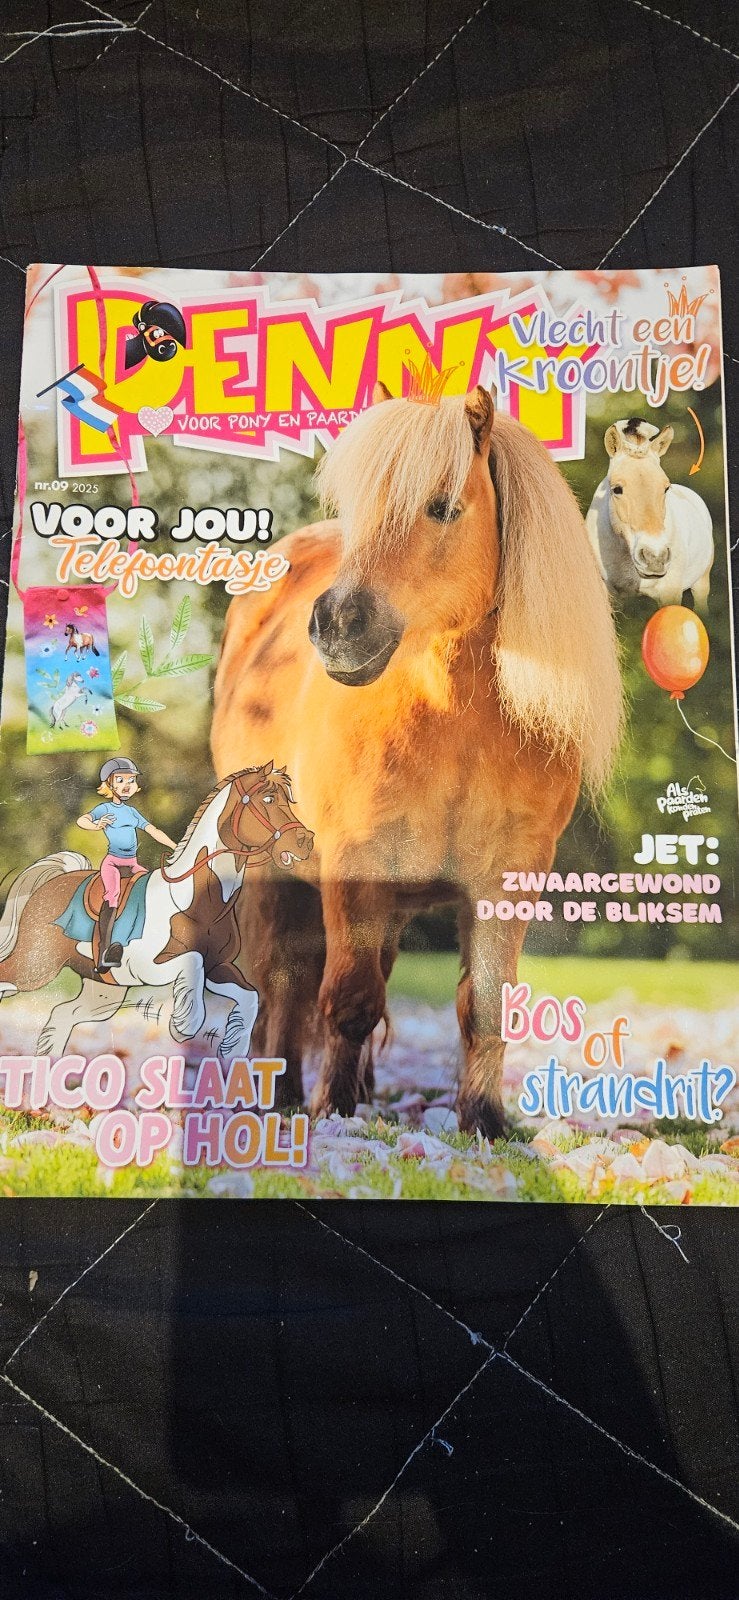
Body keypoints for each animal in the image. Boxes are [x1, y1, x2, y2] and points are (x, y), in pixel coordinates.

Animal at [0, 764, 313, 1060]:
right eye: (269, 798)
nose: (306, 840)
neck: (198, 902)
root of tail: (51, 883)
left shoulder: (220, 967)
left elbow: (250, 997)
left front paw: (234, 1050)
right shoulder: (150, 966)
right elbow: (193, 964)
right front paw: (183, 1026)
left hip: (104, 993)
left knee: (61, 1017)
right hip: (34, 967)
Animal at [211, 384, 623, 1137]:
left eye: (442, 507)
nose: (337, 626)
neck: (457, 726)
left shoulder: (505, 879)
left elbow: (483, 1006)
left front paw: (483, 1123)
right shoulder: (354, 865)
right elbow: (347, 998)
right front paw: (335, 1113)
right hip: (275, 878)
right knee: (285, 979)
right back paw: (281, 1094)